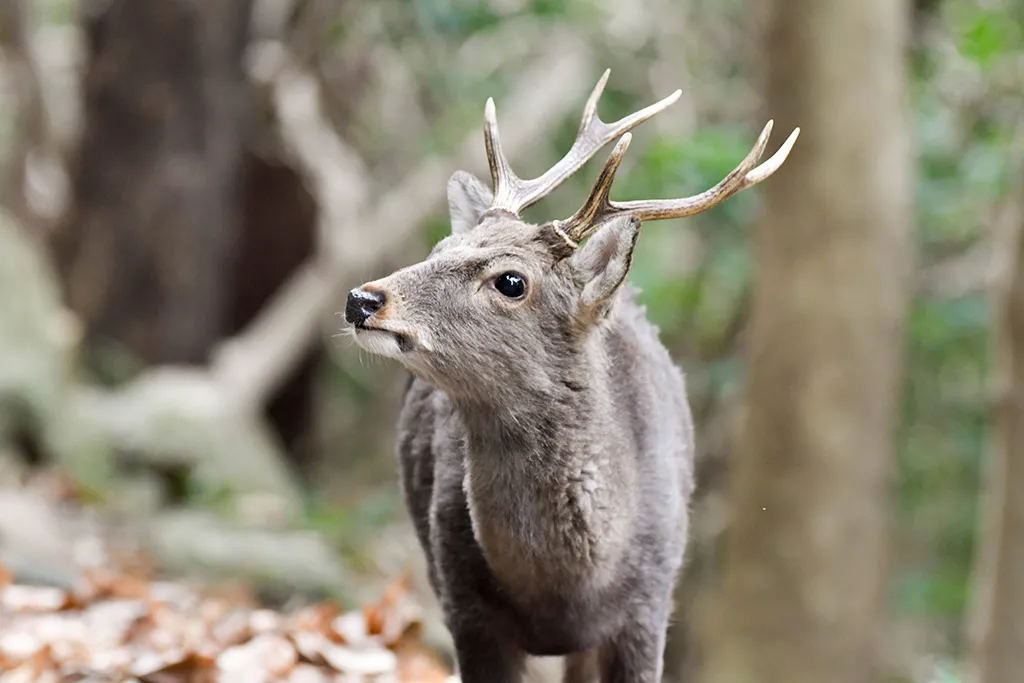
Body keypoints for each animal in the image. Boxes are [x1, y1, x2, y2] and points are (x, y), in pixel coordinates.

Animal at [344, 70, 798, 683]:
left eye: (511, 281)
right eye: (440, 247)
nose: (363, 299)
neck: (565, 590)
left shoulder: (650, 608)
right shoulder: (462, 602)